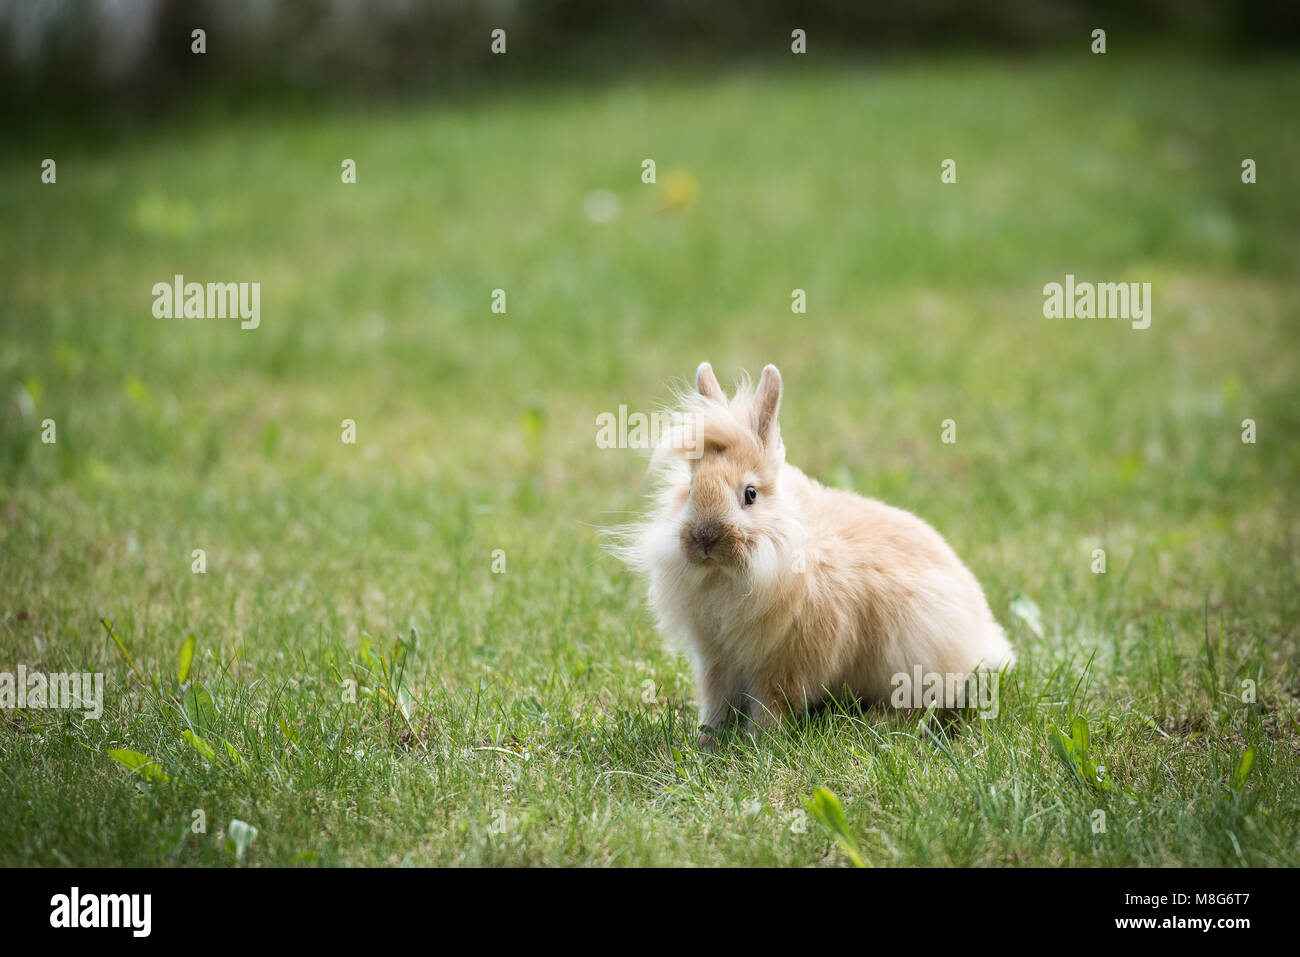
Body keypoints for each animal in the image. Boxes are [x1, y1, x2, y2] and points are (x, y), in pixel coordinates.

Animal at [611, 362, 1014, 748]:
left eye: (750, 494)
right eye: (692, 488)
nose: (704, 538)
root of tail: (982, 636)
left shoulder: (786, 662)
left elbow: (771, 705)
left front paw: (758, 743)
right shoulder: (717, 659)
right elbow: (716, 700)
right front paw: (708, 740)